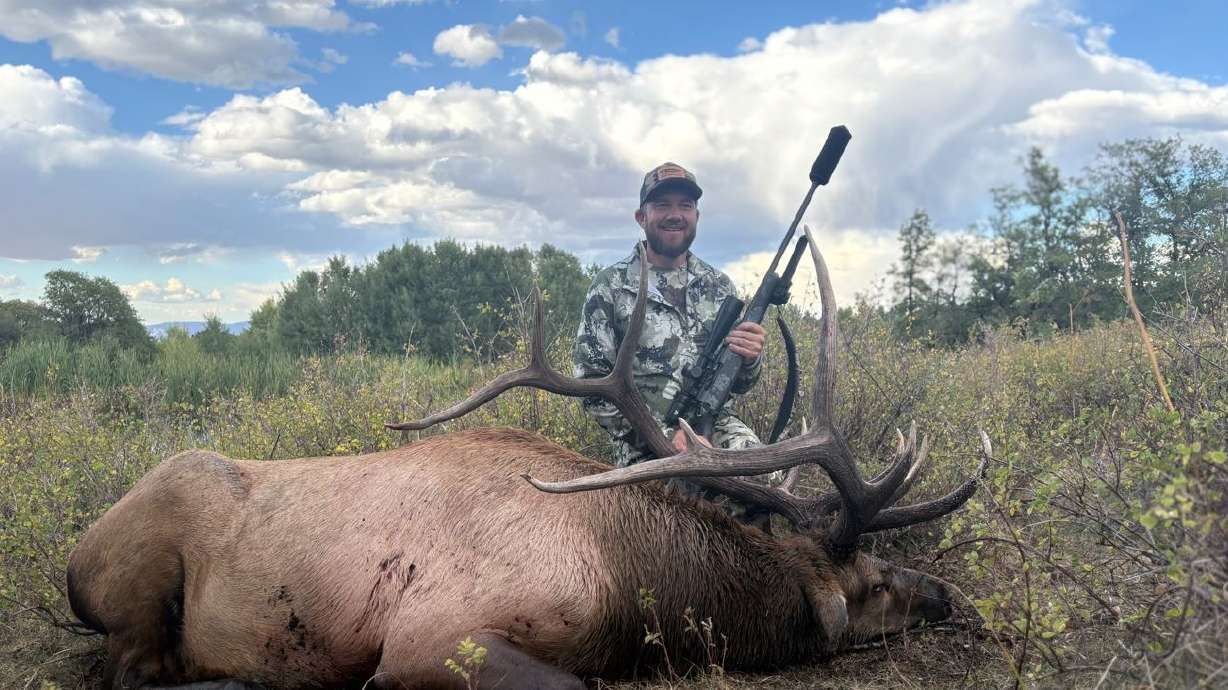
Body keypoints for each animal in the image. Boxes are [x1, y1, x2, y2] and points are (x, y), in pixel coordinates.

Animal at [67, 226, 988, 690]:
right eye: (872, 580)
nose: (950, 596)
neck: (630, 583)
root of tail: (73, 561)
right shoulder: (426, 637)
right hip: (143, 585)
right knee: (132, 673)